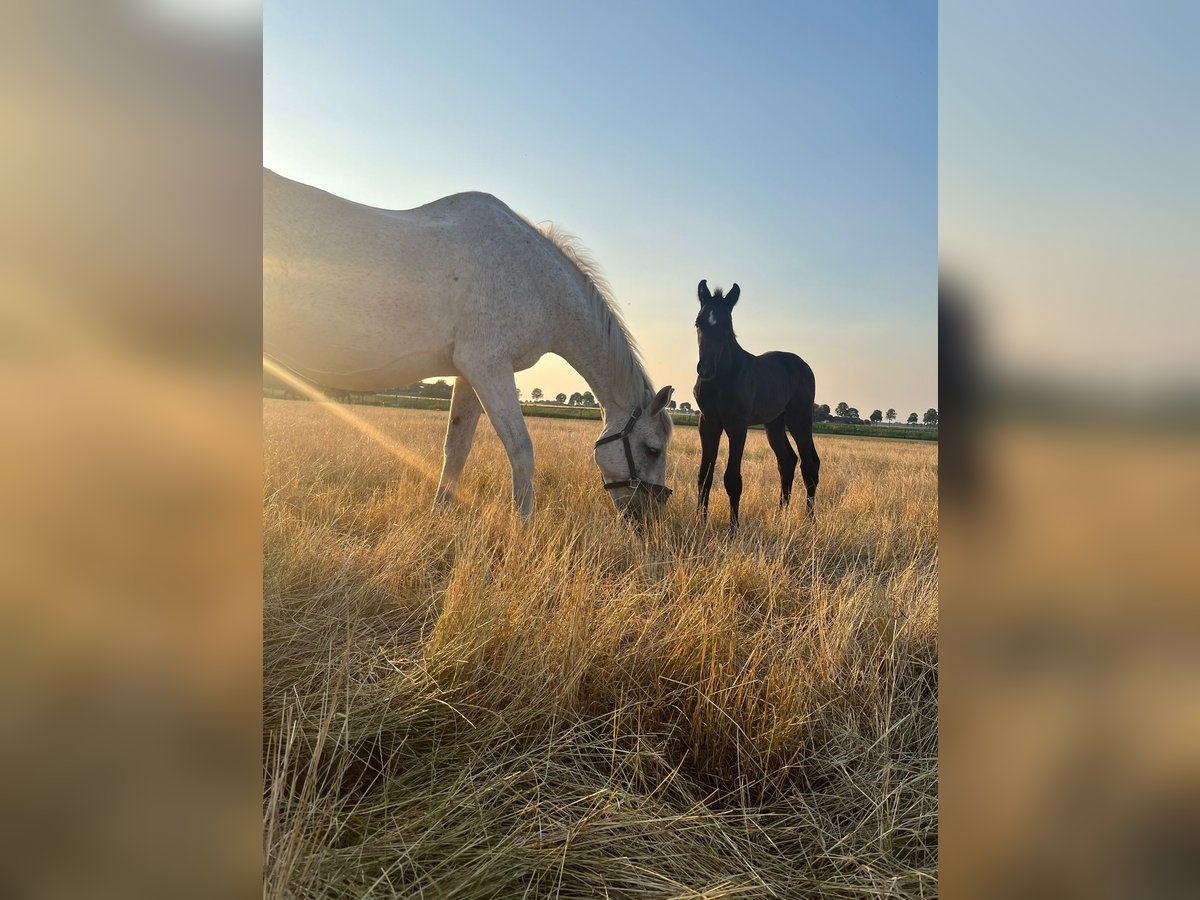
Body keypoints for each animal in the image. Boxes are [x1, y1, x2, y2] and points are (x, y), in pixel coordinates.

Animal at [264, 170, 676, 520]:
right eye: (652, 449)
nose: (647, 517)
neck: (534, 278)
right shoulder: (489, 367)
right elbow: (521, 449)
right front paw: (525, 528)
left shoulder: (468, 374)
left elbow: (456, 447)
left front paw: (440, 514)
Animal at [691, 282, 820, 528]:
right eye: (698, 323)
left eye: (726, 326)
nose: (705, 370)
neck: (724, 376)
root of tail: (804, 365)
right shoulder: (708, 423)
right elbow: (704, 476)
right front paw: (699, 525)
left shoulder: (737, 426)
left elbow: (732, 479)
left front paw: (733, 529)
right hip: (774, 423)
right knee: (787, 461)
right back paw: (780, 517)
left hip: (799, 418)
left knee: (809, 465)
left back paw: (809, 520)